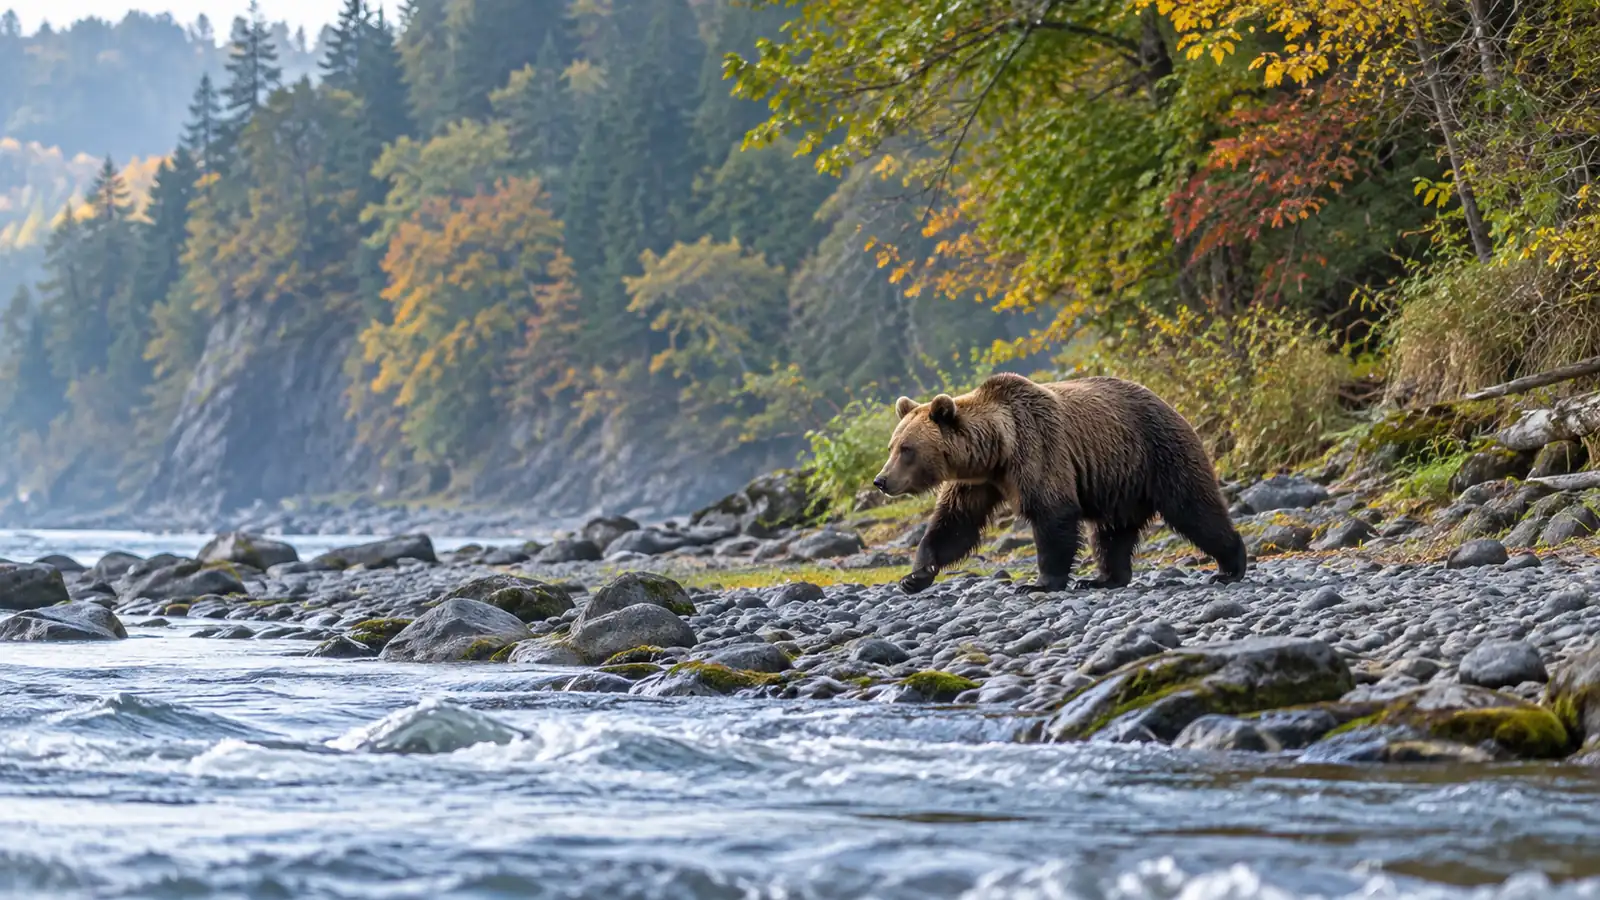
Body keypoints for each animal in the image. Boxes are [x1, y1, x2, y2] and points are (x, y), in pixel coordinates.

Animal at [872, 372, 1247, 594]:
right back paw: (1103, 579)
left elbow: (1053, 514)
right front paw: (915, 576)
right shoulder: (976, 482)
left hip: (1159, 453)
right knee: (1111, 532)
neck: (996, 450)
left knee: (1194, 508)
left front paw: (1039, 584)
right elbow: (954, 525)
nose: (881, 480)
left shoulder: (1039, 449)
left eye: (907, 449)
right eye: (892, 446)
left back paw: (1230, 566)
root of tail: (1171, 404)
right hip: (1120, 481)